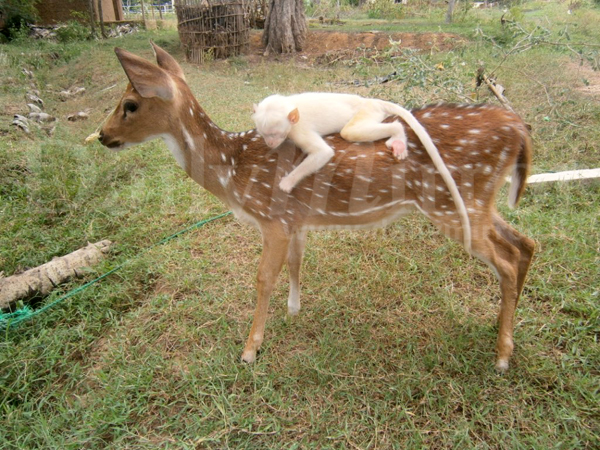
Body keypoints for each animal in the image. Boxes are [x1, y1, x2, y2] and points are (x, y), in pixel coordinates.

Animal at [251, 91, 472, 253]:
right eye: (264, 134)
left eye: (275, 134)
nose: (270, 143)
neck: (290, 106)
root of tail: (369, 100)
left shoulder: (299, 130)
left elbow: (323, 153)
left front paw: (286, 183)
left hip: (367, 112)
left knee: (352, 132)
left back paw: (397, 133)